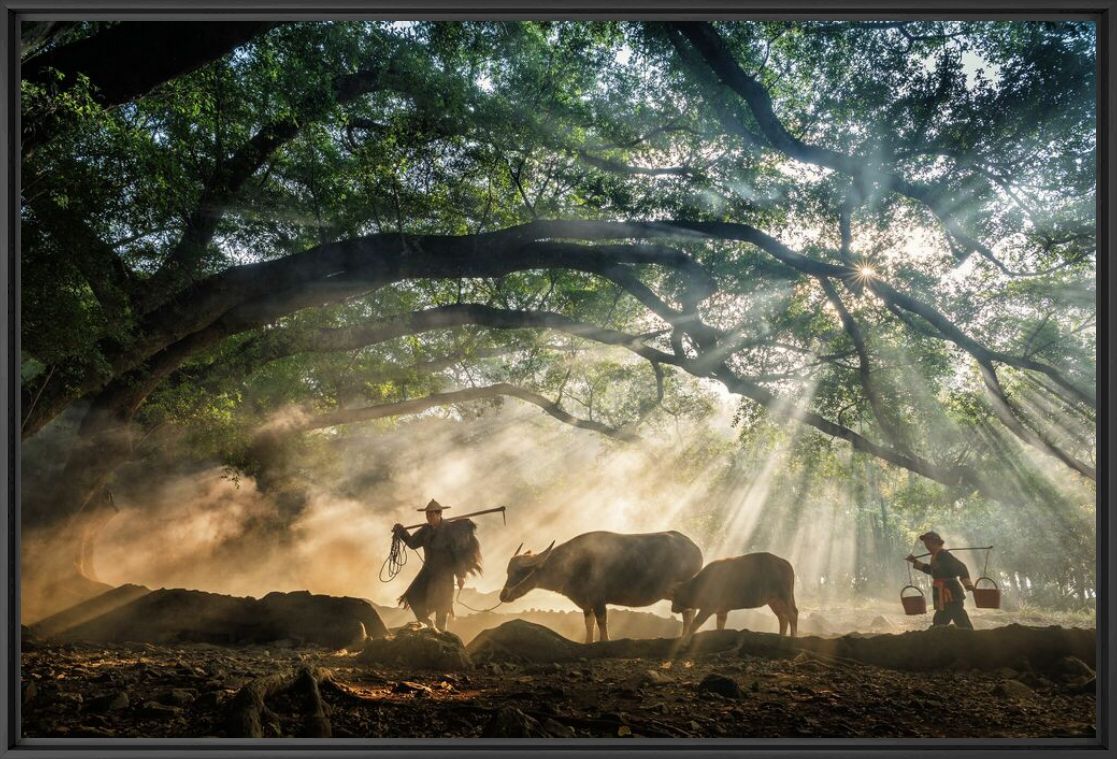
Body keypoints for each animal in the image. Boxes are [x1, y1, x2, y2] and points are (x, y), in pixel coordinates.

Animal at [498, 532, 697, 643]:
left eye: (520, 572)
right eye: (507, 571)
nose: (502, 595)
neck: (574, 564)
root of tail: (694, 548)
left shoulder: (599, 600)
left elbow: (602, 621)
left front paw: (605, 641)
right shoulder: (586, 603)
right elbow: (589, 623)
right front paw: (588, 642)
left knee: (689, 613)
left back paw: (684, 637)